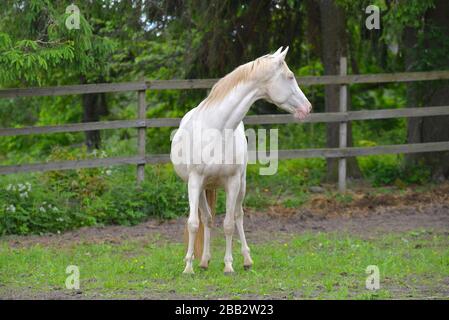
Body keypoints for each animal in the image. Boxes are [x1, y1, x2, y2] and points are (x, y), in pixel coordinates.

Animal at [169, 46, 312, 274]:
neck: (217, 129)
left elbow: (229, 224)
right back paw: (204, 261)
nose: (308, 108)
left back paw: (246, 259)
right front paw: (188, 267)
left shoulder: (233, 182)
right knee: (207, 220)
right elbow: (193, 223)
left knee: (238, 216)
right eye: (290, 76)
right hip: (203, 188)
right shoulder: (194, 182)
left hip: (241, 186)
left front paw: (228, 265)